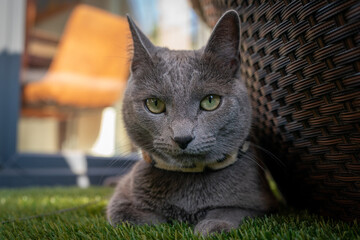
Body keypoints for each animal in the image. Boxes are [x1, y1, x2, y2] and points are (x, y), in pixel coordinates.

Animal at [107, 10, 278, 235]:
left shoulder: (262, 202)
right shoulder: (122, 198)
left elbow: (233, 210)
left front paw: (213, 226)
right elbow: (127, 217)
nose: (182, 137)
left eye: (210, 101)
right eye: (154, 104)